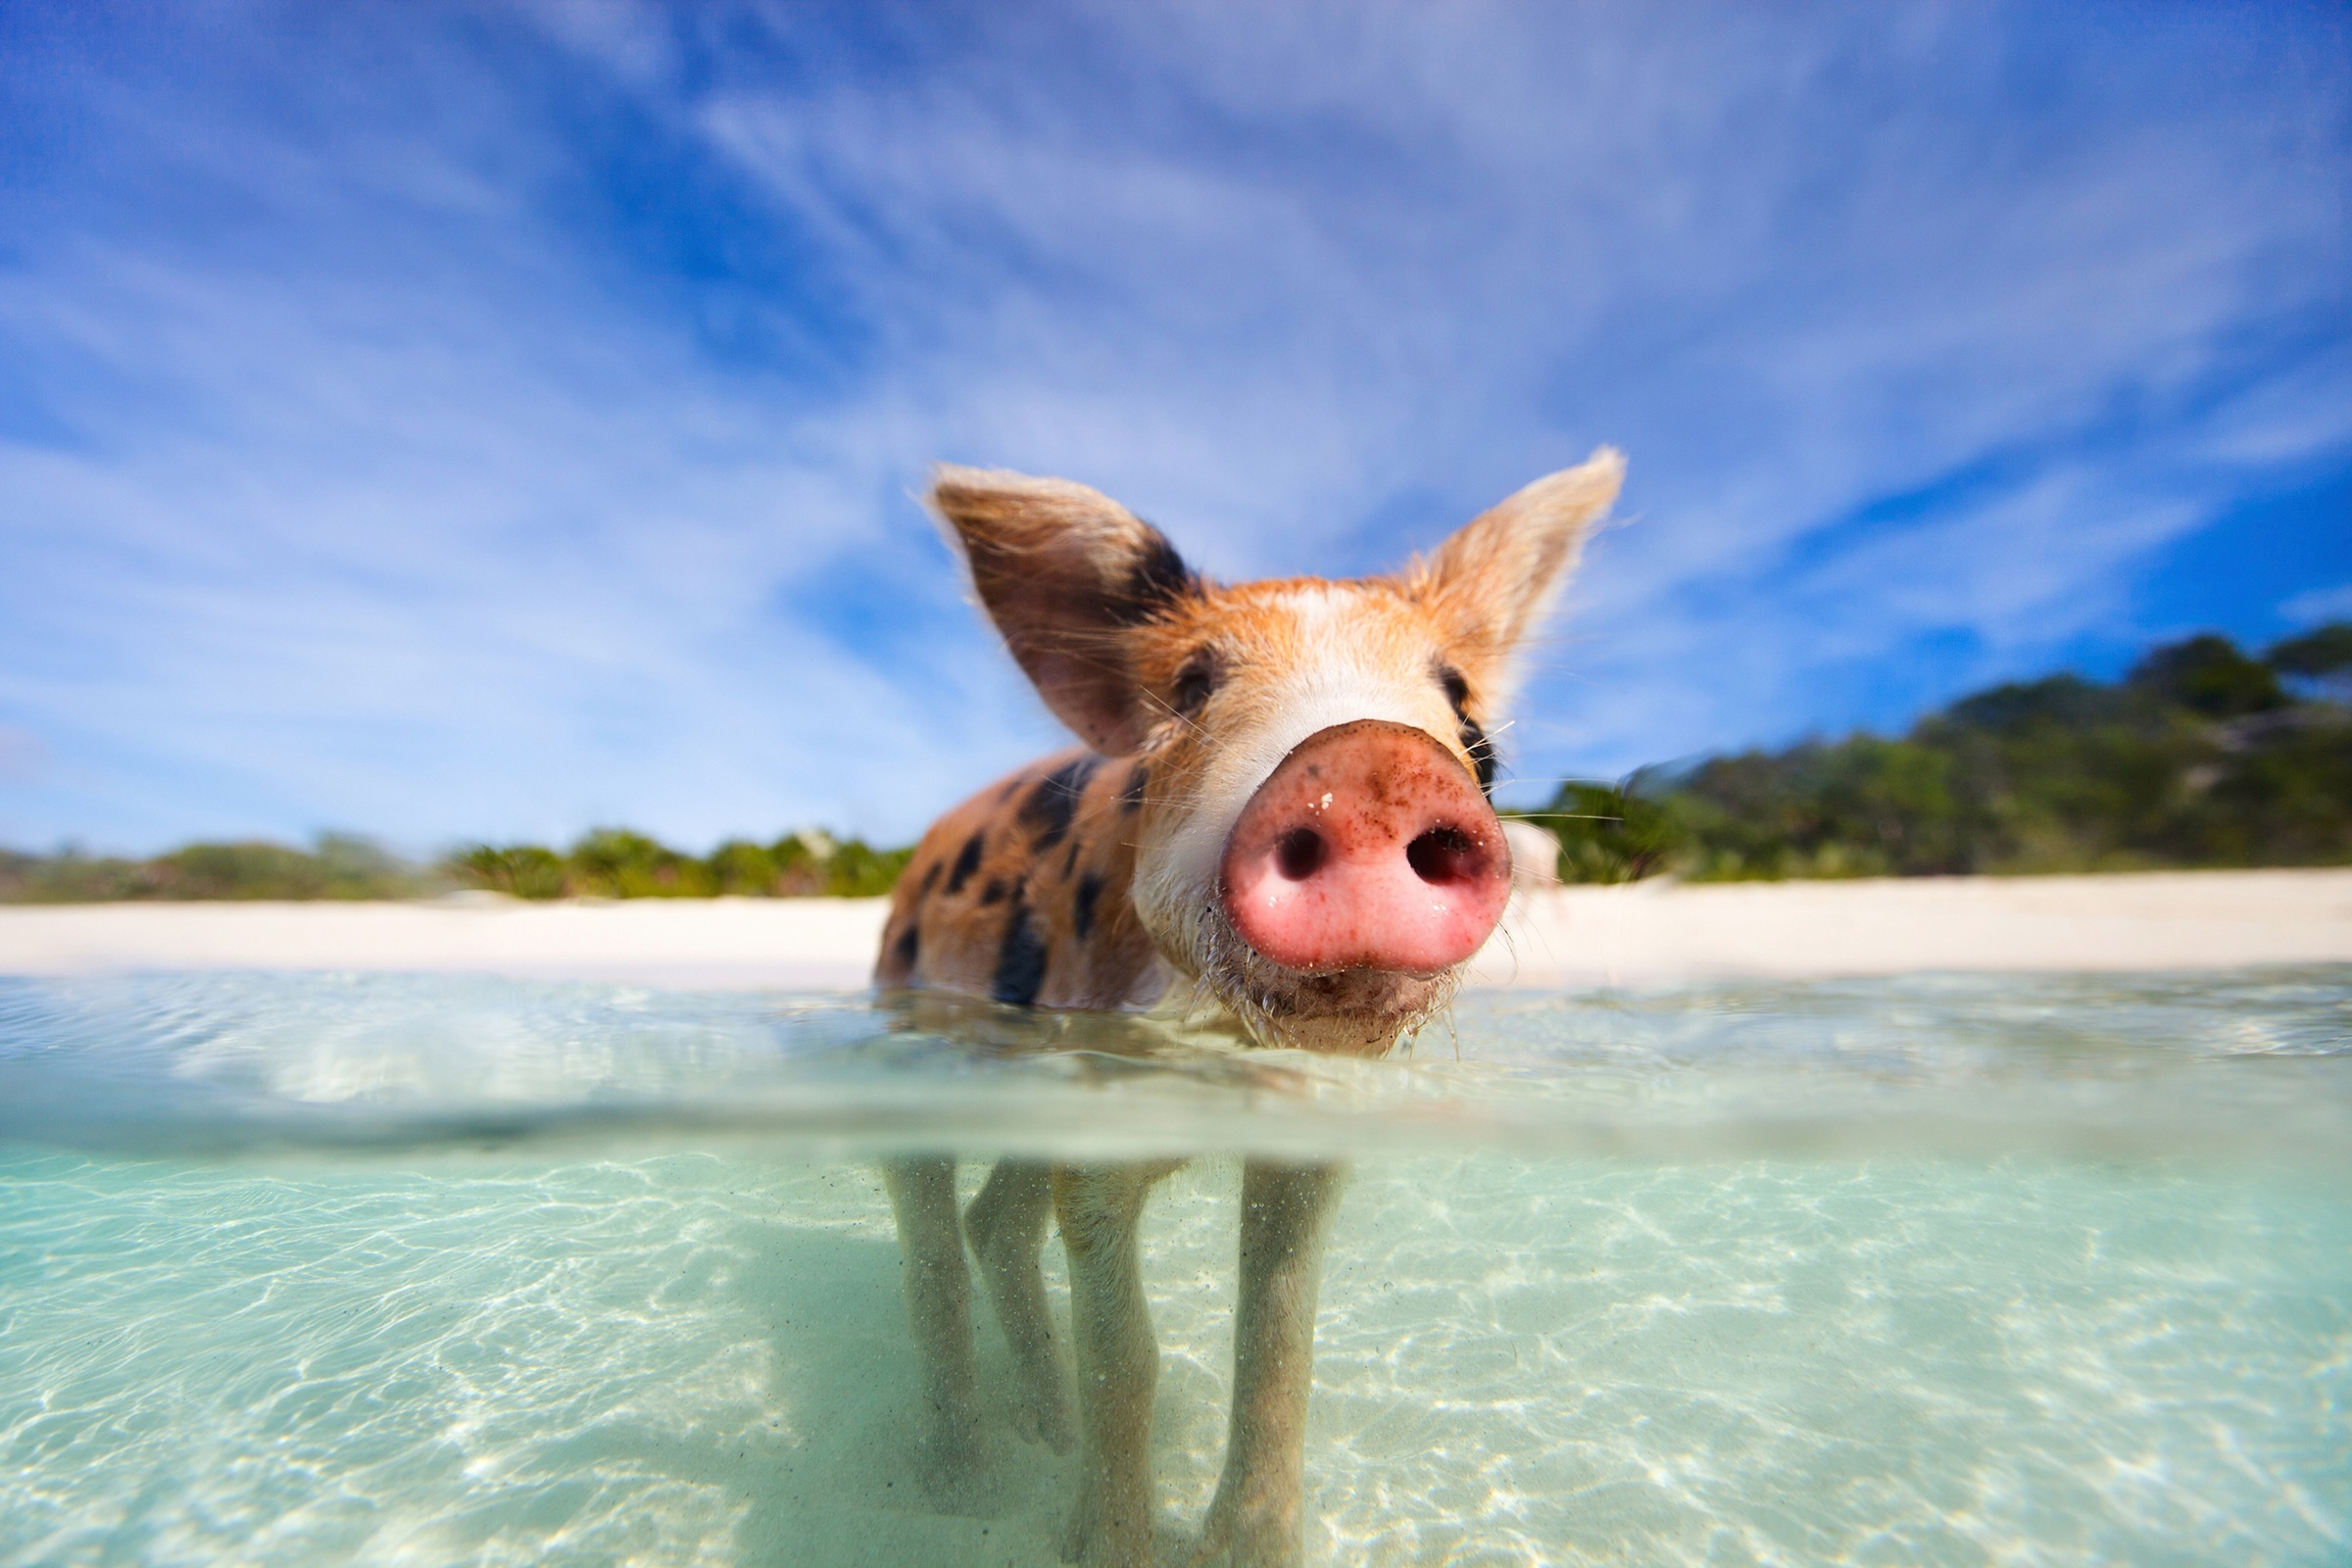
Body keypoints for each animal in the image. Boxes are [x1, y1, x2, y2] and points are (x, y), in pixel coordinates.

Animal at [873, 449, 1623, 1567]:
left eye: (1463, 708)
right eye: (1192, 686)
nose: (1371, 760)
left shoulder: (1309, 1134)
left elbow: (1276, 1344)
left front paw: (1245, 1547)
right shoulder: (1097, 1118)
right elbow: (1128, 1360)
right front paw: (1106, 1548)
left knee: (994, 1223)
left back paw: (1043, 1428)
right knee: (932, 1241)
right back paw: (963, 1483)